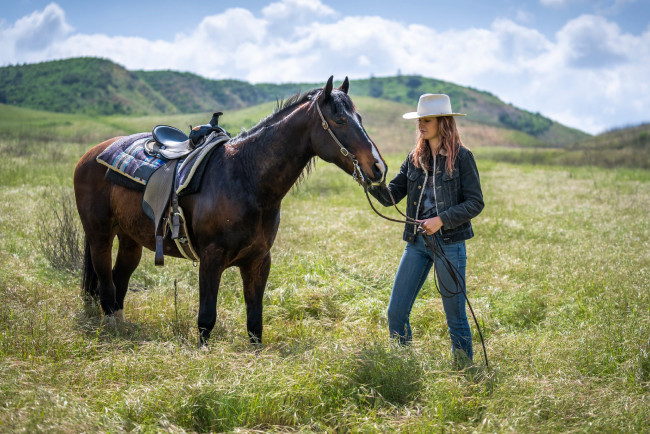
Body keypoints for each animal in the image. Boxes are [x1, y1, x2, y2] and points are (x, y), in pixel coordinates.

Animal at [73, 76, 384, 344]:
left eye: (359, 119)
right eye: (339, 120)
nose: (378, 168)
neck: (246, 177)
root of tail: (91, 153)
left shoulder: (258, 261)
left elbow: (255, 323)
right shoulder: (211, 259)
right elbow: (206, 319)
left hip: (130, 239)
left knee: (119, 280)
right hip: (99, 236)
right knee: (106, 286)